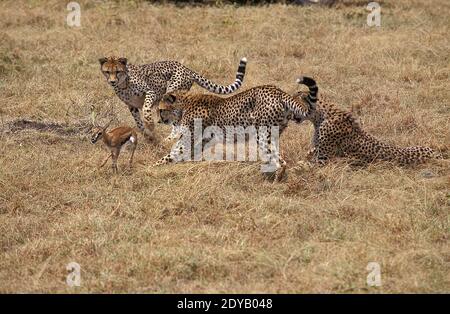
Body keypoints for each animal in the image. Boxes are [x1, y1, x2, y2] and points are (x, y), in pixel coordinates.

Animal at [98, 56, 248, 141]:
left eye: (118, 71)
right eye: (107, 72)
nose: (112, 81)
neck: (123, 83)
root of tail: (186, 68)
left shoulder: (151, 91)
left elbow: (146, 108)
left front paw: (150, 124)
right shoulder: (131, 106)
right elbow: (138, 123)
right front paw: (147, 136)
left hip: (170, 93)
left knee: (175, 119)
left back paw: (172, 137)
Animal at [153, 84, 312, 182]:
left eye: (161, 110)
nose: (159, 121)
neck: (184, 104)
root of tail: (277, 90)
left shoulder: (187, 140)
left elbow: (170, 154)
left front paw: (151, 168)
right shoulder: (200, 142)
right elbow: (181, 155)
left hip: (261, 135)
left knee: (280, 162)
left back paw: (273, 181)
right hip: (272, 135)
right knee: (278, 159)